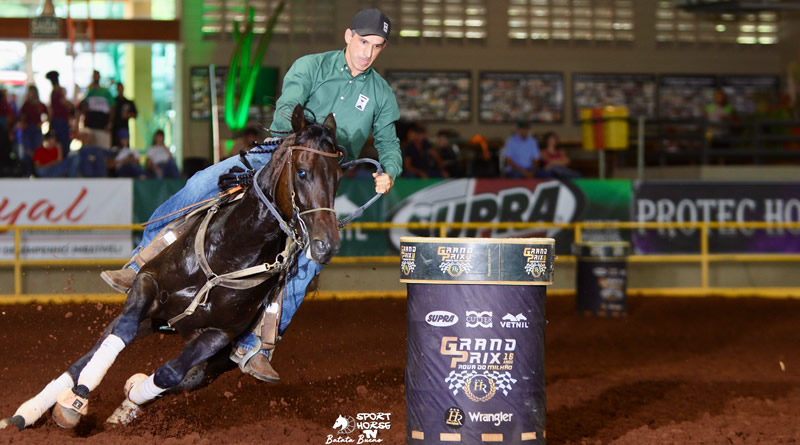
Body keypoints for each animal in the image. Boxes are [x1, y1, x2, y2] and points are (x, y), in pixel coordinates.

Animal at [0, 104, 344, 431]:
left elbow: (169, 375)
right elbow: (118, 335)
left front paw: (130, 397)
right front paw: (74, 402)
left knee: (187, 379)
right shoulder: (147, 284)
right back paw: (24, 415)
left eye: (337, 177)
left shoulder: (219, 335)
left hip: (216, 359)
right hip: (150, 317)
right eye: (302, 172)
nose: (327, 244)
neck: (228, 255)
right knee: (91, 352)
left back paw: (126, 406)